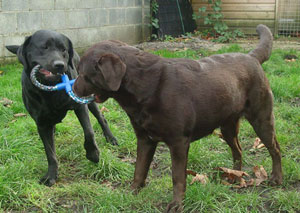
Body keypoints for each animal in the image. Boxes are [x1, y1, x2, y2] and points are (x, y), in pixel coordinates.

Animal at [6, 30, 117, 186]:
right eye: (44, 47)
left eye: (63, 49)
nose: (60, 65)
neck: (50, 90)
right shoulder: (41, 123)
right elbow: (50, 152)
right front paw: (51, 176)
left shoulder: (79, 106)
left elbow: (89, 132)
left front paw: (93, 154)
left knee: (101, 118)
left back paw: (111, 138)